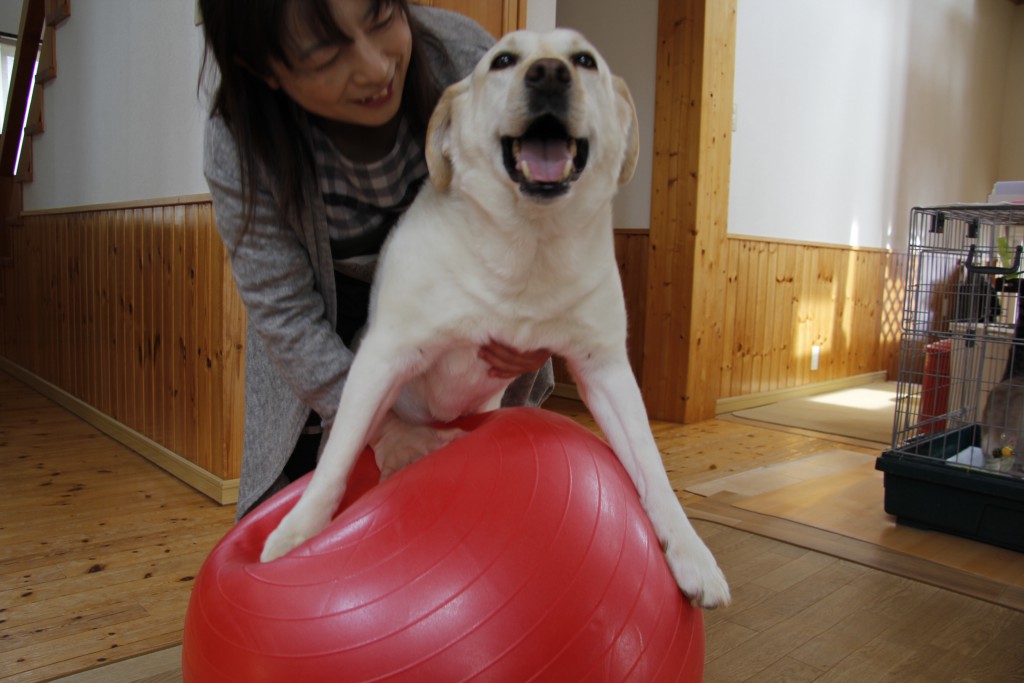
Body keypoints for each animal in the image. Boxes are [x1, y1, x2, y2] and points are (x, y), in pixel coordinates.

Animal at [264, 29, 729, 606]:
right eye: (504, 60)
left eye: (585, 60)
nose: (549, 74)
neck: (528, 242)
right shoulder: (383, 356)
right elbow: (335, 465)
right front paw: (296, 535)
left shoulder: (605, 369)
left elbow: (652, 465)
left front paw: (691, 553)